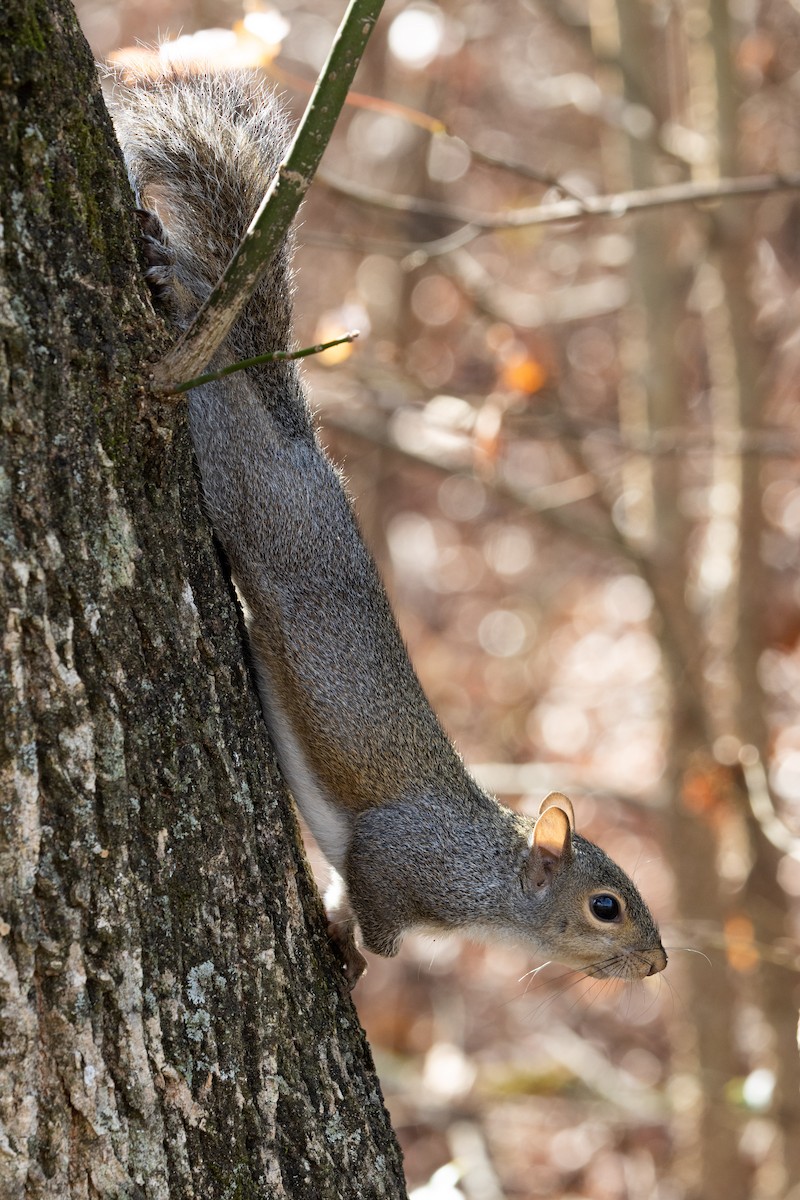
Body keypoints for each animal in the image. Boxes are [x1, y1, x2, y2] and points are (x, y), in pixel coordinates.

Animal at [112, 70, 667, 988]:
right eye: (606, 906)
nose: (657, 963)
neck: (488, 875)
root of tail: (298, 449)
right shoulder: (401, 858)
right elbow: (374, 907)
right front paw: (356, 956)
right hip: (241, 484)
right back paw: (175, 294)